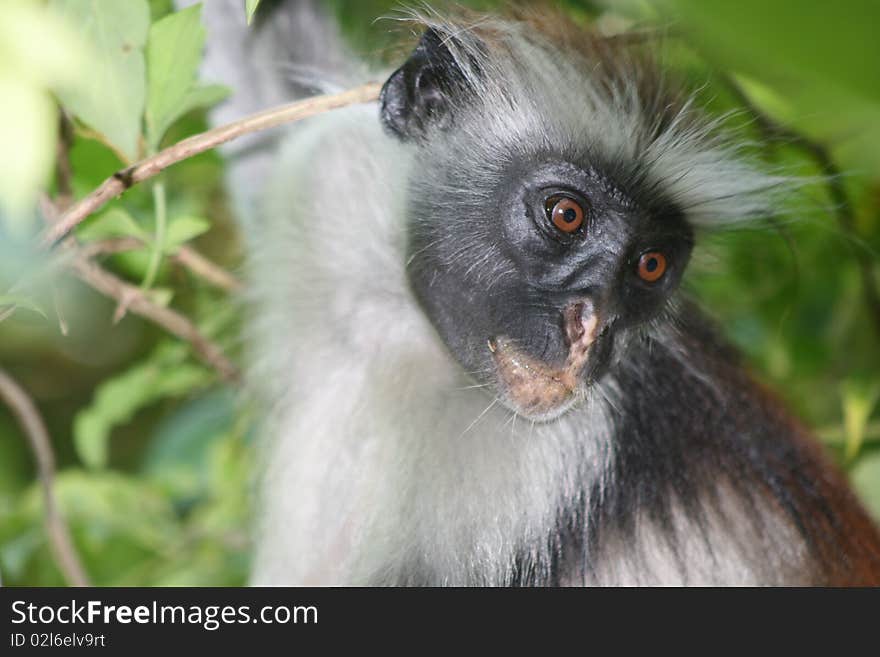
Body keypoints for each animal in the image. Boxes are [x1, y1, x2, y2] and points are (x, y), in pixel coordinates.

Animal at [187, 0, 880, 584]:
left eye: (649, 265)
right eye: (566, 215)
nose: (593, 324)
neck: (412, 332)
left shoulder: (555, 465)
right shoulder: (327, 183)